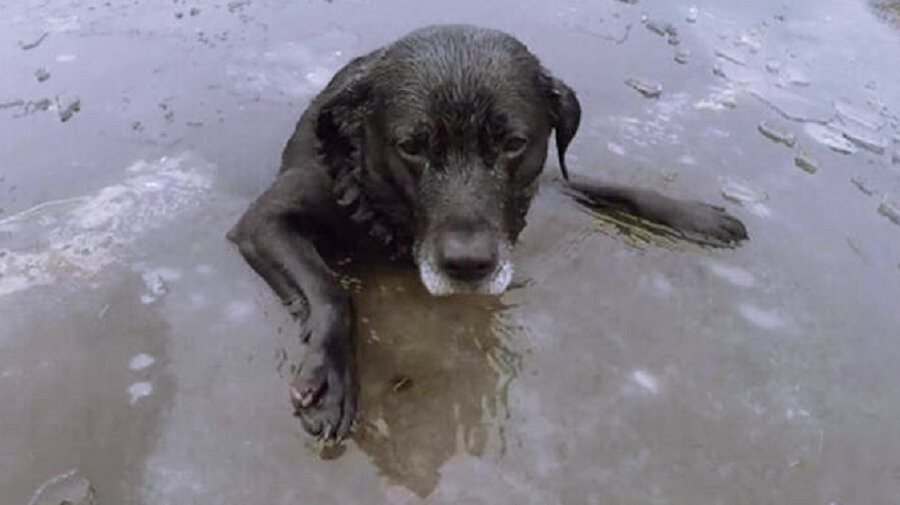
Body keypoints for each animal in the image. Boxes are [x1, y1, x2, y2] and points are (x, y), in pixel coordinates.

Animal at [229, 24, 748, 440]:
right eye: (411, 146)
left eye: (513, 143)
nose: (468, 265)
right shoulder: (264, 219)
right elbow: (331, 292)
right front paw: (331, 380)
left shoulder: (542, 177)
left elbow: (600, 183)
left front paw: (694, 214)